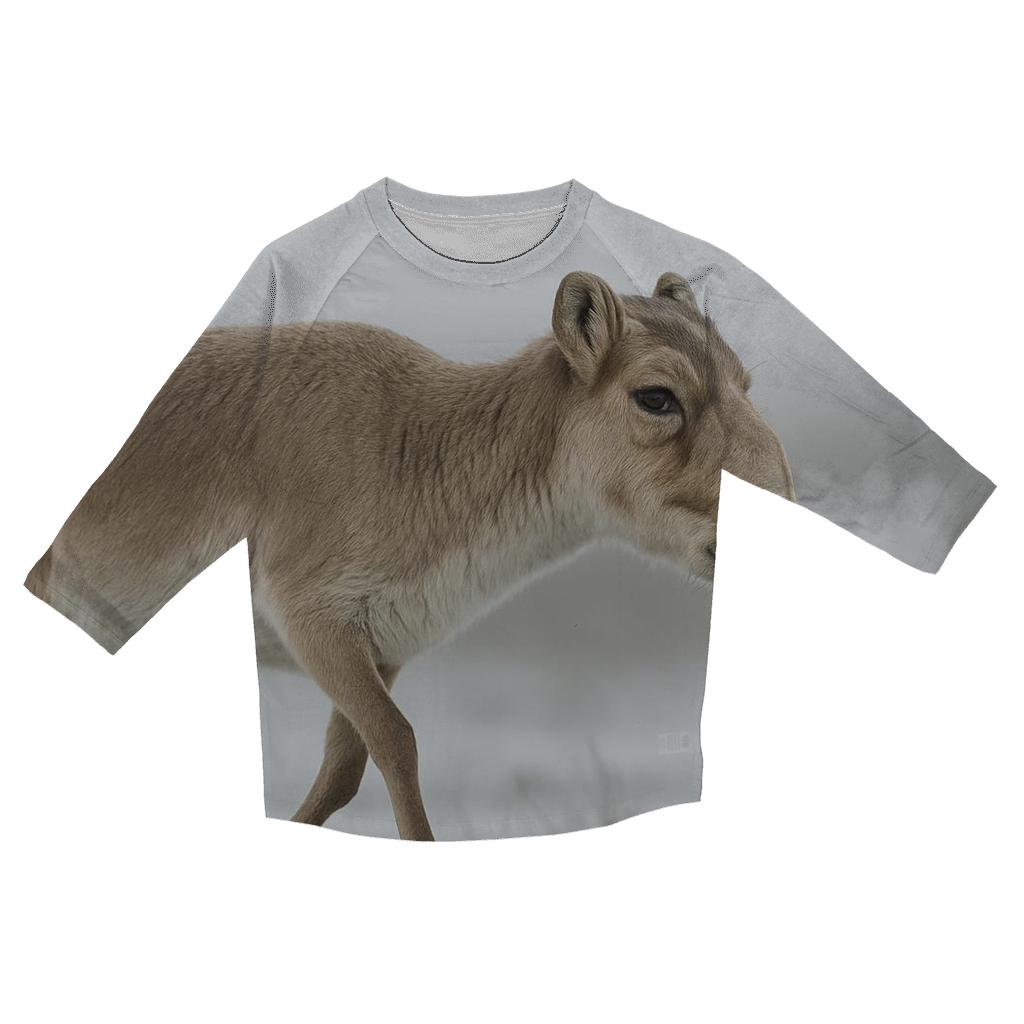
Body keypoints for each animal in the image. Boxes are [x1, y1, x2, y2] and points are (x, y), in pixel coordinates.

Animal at [26, 271, 794, 841]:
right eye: (656, 396)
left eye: (746, 383)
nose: (781, 500)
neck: (416, 448)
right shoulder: (310, 618)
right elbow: (397, 742)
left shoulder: (382, 643)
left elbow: (347, 766)